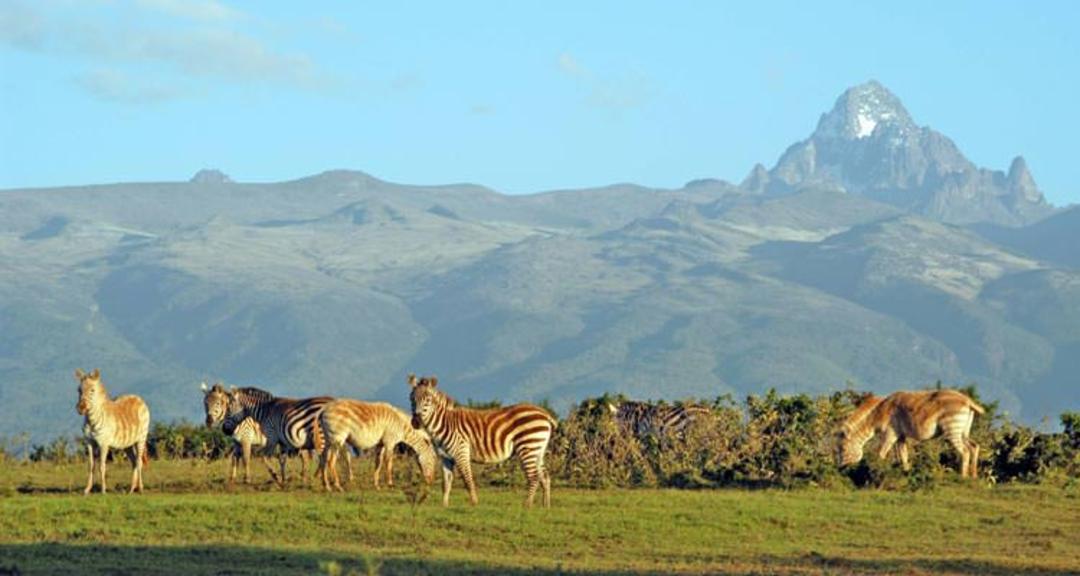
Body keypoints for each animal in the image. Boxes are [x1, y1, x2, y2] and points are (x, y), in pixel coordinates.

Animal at [408, 374, 557, 508]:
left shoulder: (461, 452)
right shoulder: (445, 457)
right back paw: (546, 506)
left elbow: (467, 479)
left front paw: (474, 503)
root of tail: (545, 413)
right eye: (411, 399)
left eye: (428, 399)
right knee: (545, 477)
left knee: (534, 477)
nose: (416, 421)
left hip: (528, 447)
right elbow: (446, 483)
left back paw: (526, 505)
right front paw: (444, 506)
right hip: (537, 450)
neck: (444, 423)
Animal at [838, 389, 985, 478]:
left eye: (842, 448)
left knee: (965, 451)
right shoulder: (900, 437)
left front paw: (875, 472)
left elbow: (881, 454)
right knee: (974, 446)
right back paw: (974, 476)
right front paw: (905, 473)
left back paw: (963, 477)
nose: (840, 469)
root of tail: (968, 401)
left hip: (952, 431)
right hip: (963, 432)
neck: (880, 412)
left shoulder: (890, 434)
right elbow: (903, 457)